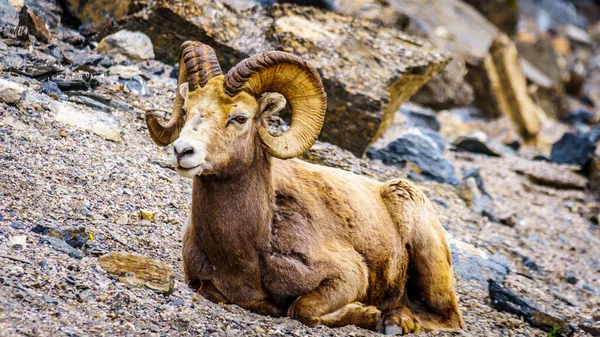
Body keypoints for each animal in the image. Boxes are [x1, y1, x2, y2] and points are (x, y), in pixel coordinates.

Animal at [148, 40, 466, 332]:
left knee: (449, 318)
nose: (182, 151)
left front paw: (368, 314)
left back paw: (396, 322)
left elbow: (301, 309)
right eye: (186, 110)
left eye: (239, 117)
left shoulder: (348, 277)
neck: (247, 251)